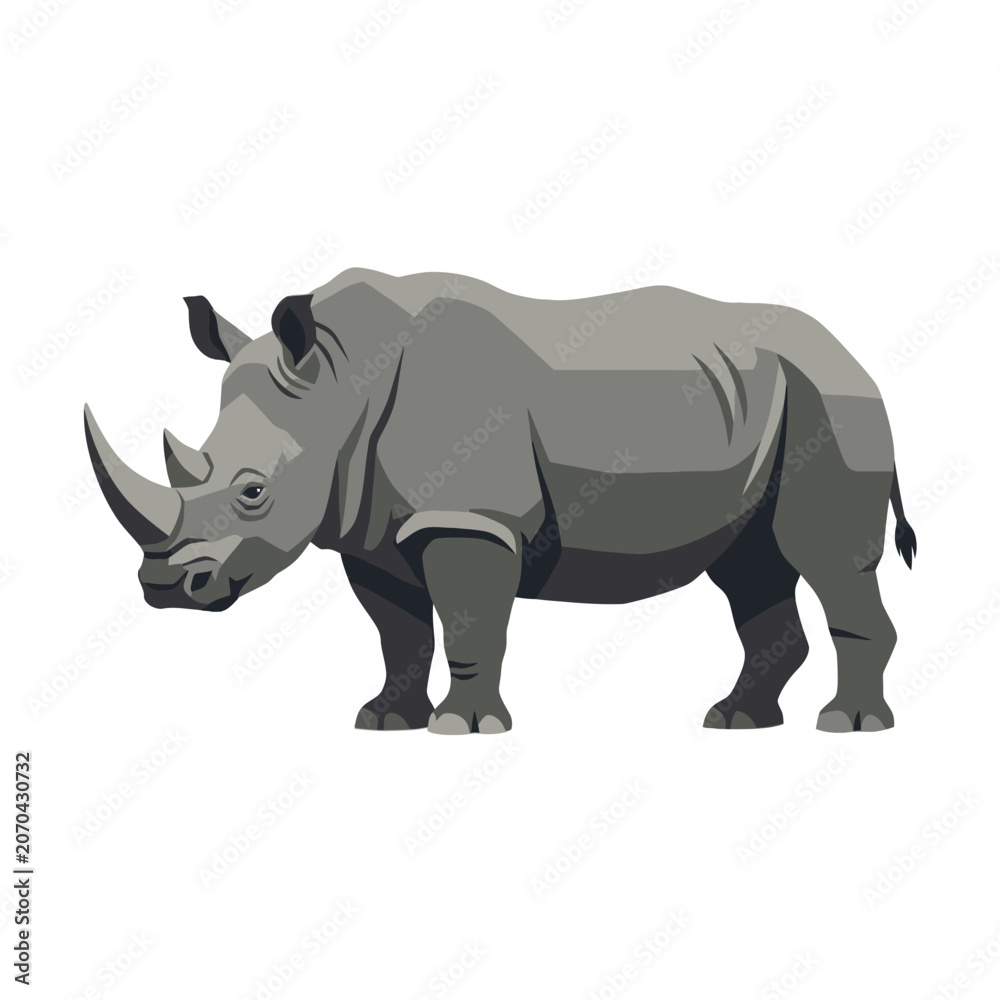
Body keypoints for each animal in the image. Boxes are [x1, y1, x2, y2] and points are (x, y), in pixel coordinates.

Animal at [84, 267, 916, 734]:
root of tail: (860, 363)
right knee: (751, 569)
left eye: (254, 491)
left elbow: (468, 623)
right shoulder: (368, 531)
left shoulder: (468, 520)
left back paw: (847, 727)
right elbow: (398, 633)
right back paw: (736, 722)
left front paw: (464, 728)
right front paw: (383, 722)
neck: (341, 384)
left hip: (832, 404)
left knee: (826, 557)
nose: (164, 586)